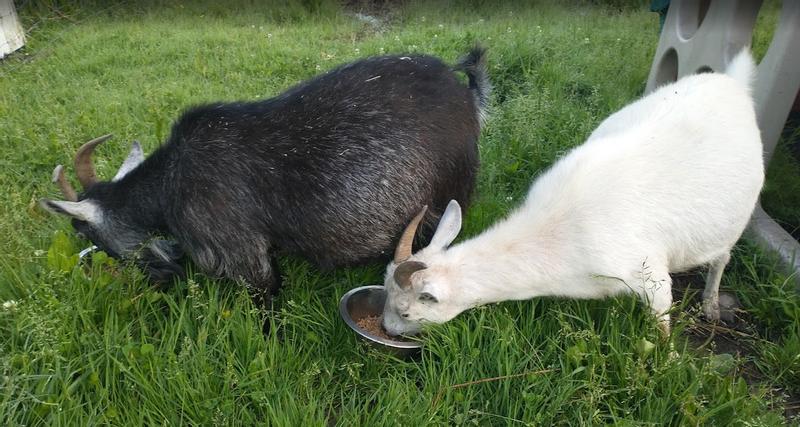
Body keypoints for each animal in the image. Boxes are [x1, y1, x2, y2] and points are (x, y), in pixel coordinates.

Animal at [41, 48, 490, 300]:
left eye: (90, 236)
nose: (157, 279)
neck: (170, 184)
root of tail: (465, 90)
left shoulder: (239, 251)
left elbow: (265, 299)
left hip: (450, 190)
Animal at [381, 49, 763, 337]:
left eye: (406, 311)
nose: (386, 329)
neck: (561, 229)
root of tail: (732, 82)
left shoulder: (650, 276)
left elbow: (662, 322)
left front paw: (665, 361)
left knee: (722, 257)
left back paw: (711, 304)